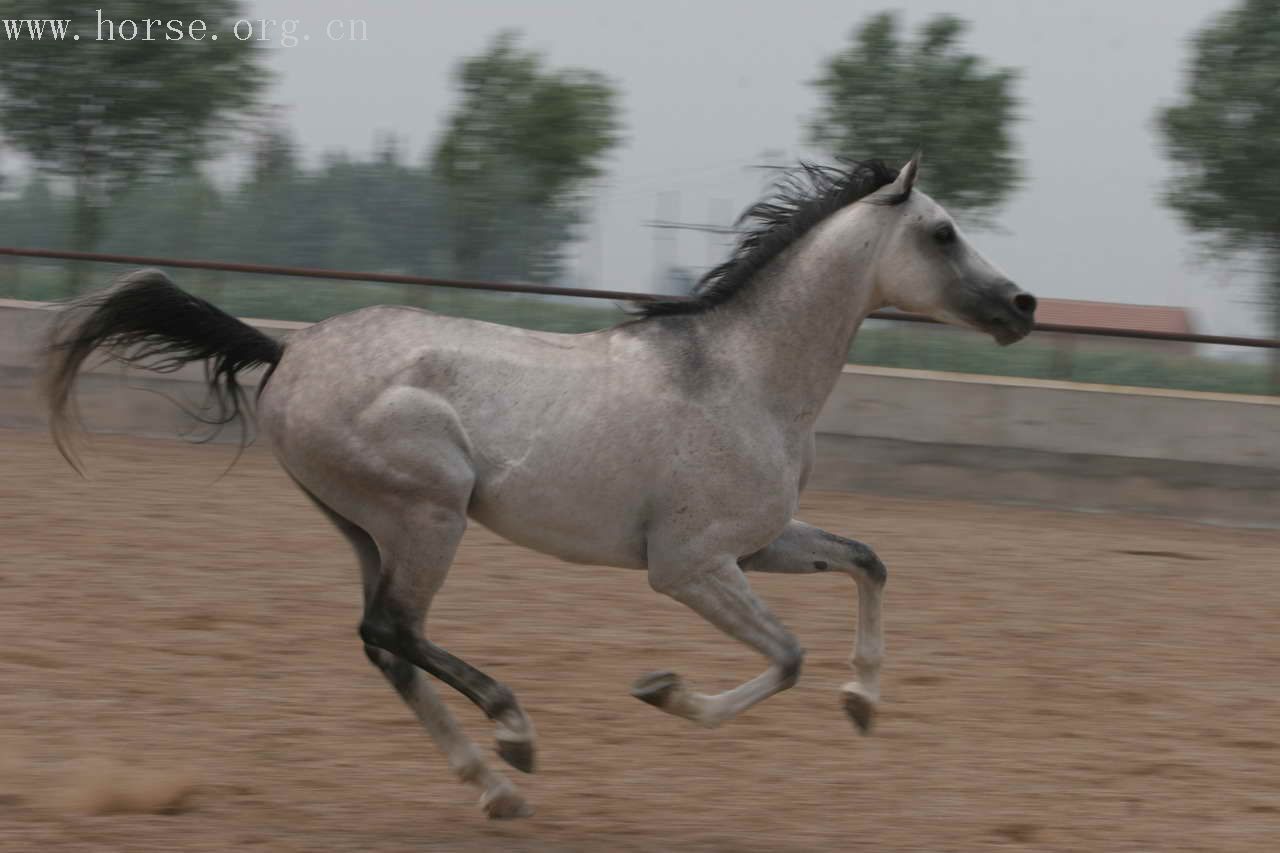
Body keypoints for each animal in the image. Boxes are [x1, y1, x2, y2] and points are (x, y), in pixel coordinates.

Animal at [45, 156, 1034, 814]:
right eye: (943, 232)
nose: (1022, 306)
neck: (742, 375)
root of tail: (289, 348)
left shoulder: (759, 544)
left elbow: (868, 560)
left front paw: (863, 702)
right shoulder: (690, 566)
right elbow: (788, 655)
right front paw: (662, 690)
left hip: (366, 527)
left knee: (382, 643)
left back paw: (493, 786)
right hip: (429, 513)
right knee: (393, 629)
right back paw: (513, 735)